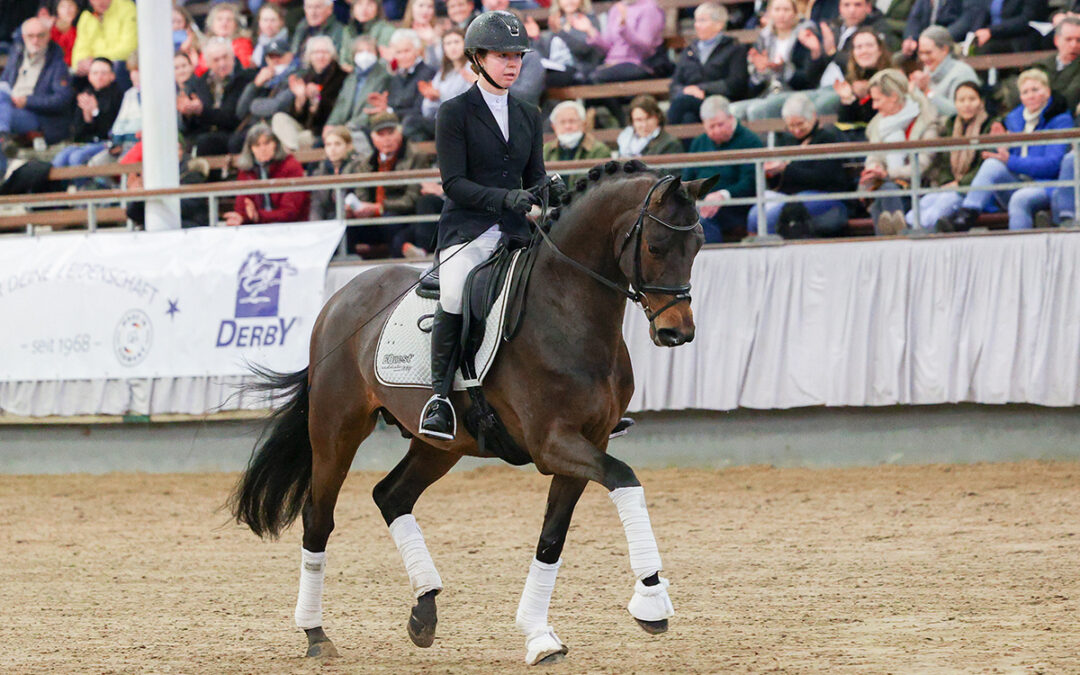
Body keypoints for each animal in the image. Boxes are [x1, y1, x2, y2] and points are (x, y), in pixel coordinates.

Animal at [227, 160, 717, 665]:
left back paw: (424, 611)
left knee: (391, 496)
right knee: (318, 518)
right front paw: (652, 599)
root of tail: (341, 298)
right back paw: (316, 633)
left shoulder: (588, 443)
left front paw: (538, 635)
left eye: (697, 245)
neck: (568, 311)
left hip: (440, 445)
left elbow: (552, 539)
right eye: (656, 246)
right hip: (336, 429)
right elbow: (625, 478)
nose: (676, 332)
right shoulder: (552, 444)